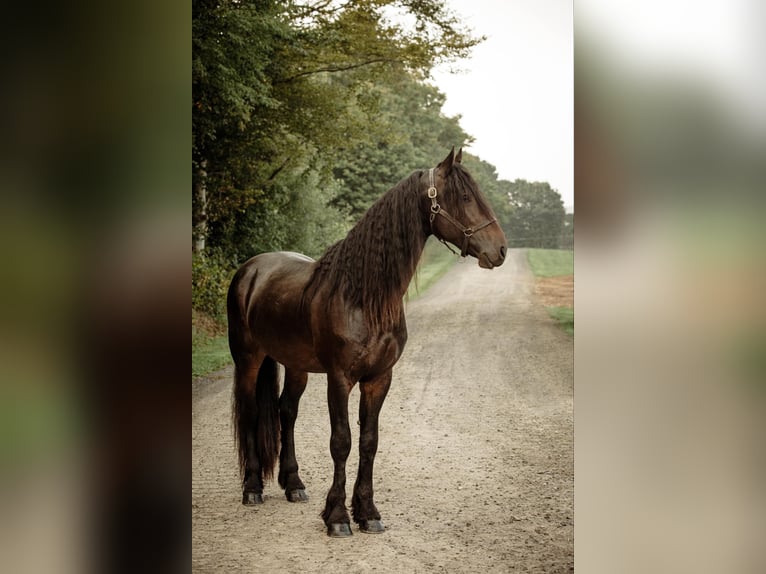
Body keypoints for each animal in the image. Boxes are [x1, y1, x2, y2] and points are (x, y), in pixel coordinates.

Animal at [227, 148, 507, 537]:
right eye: (465, 197)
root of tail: (251, 269)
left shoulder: (378, 379)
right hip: (248, 359)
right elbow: (341, 442)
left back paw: (293, 484)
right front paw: (337, 517)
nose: (501, 250)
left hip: (296, 366)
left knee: (286, 411)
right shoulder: (339, 379)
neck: (361, 296)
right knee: (252, 411)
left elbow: (369, 442)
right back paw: (252, 487)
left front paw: (368, 512)